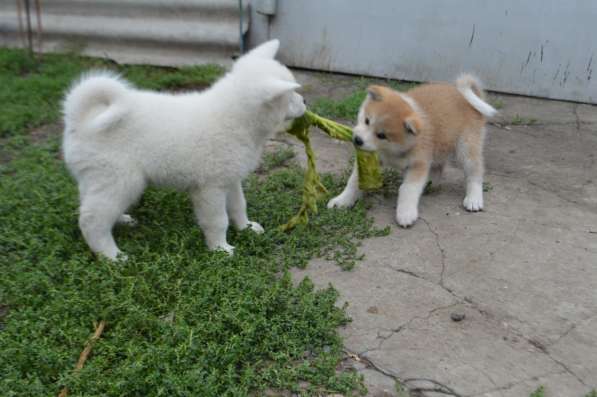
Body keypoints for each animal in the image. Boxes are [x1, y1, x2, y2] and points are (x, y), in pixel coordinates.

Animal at [62, 38, 304, 258]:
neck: (235, 119)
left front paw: (246, 227)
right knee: (92, 219)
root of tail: (80, 121)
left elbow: (238, 206)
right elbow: (218, 221)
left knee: (90, 203)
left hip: (99, 179)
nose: (305, 102)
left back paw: (119, 220)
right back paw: (111, 256)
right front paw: (220, 249)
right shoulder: (211, 188)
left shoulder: (231, 180)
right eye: (290, 95)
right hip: (120, 180)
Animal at [328, 73, 496, 226]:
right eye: (367, 120)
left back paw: (474, 199)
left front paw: (406, 214)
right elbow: (353, 182)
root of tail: (465, 98)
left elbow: (408, 189)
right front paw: (342, 201)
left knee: (475, 172)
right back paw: (431, 184)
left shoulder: (418, 165)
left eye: (381, 135)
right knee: (438, 167)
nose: (358, 140)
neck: (392, 150)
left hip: (466, 149)